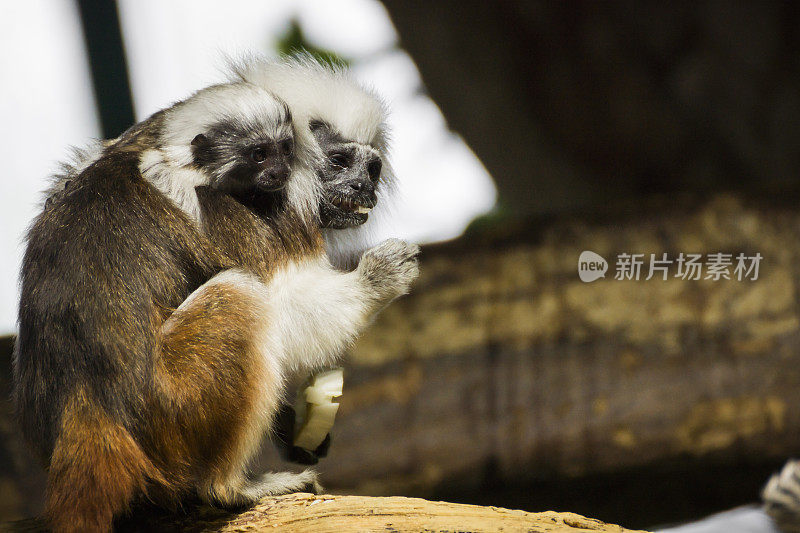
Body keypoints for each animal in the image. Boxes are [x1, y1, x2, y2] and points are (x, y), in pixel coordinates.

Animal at [14, 80, 418, 532]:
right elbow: (286, 305)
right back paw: (230, 487)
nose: (364, 188)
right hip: (172, 408)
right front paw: (379, 276)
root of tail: (89, 408)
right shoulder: (255, 211)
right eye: (339, 161)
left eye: (372, 169)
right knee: (239, 296)